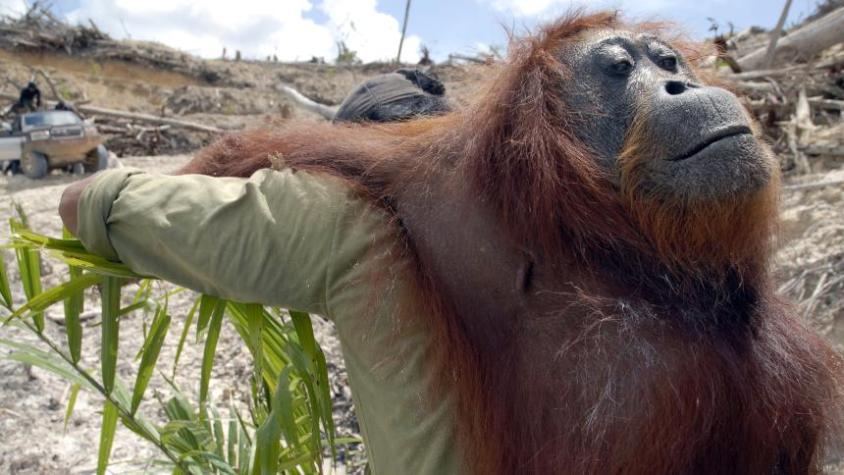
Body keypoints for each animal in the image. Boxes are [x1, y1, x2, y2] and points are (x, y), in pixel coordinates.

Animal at [61, 11, 843, 475]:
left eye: (667, 62)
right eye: (622, 70)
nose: (682, 84)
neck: (600, 245)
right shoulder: (430, 180)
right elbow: (260, 160)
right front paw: (91, 210)